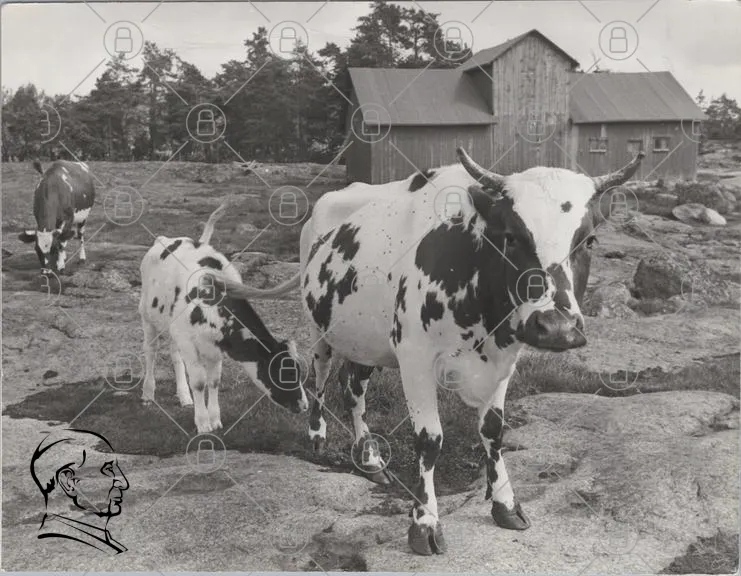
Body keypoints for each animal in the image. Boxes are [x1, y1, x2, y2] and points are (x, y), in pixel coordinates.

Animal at [138, 202, 309, 434]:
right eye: (286, 373)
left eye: (298, 371)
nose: (304, 405)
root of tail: (165, 239)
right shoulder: (188, 340)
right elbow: (199, 381)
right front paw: (202, 423)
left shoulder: (214, 346)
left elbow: (214, 381)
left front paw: (215, 419)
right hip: (147, 316)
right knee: (151, 351)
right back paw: (148, 393)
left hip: (172, 325)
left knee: (174, 354)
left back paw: (184, 396)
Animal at [225, 148, 645, 555]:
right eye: (511, 237)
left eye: (588, 241)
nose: (557, 327)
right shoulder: (415, 358)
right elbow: (429, 441)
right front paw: (425, 523)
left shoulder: (506, 359)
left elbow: (494, 430)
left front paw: (505, 504)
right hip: (320, 327)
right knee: (322, 374)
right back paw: (317, 434)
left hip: (367, 338)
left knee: (353, 388)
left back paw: (370, 457)